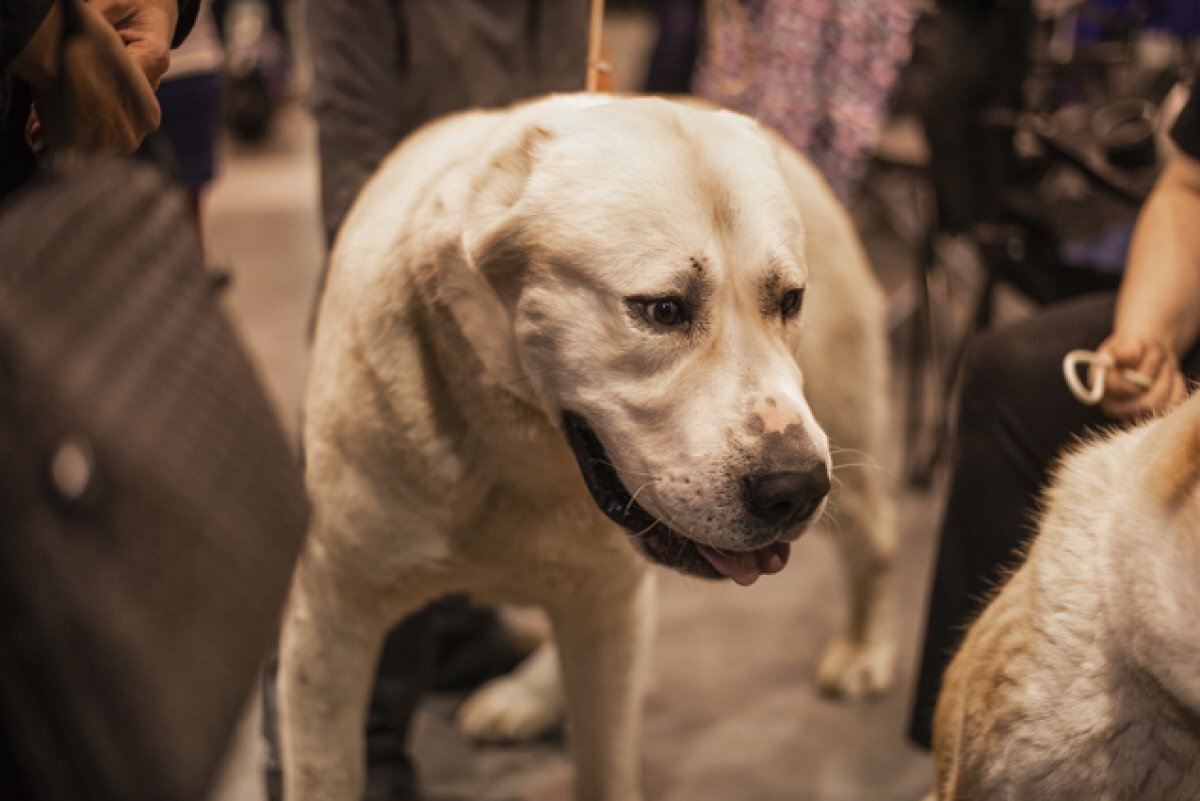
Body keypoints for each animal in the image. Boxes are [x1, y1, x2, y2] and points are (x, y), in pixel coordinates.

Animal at [280, 95, 897, 801]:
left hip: (840, 428)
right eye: (661, 310)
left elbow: (606, 766)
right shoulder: (329, 623)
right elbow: (324, 771)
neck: (515, 448)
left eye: (789, 301)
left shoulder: (610, 610)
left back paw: (866, 648)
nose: (795, 489)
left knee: (878, 535)